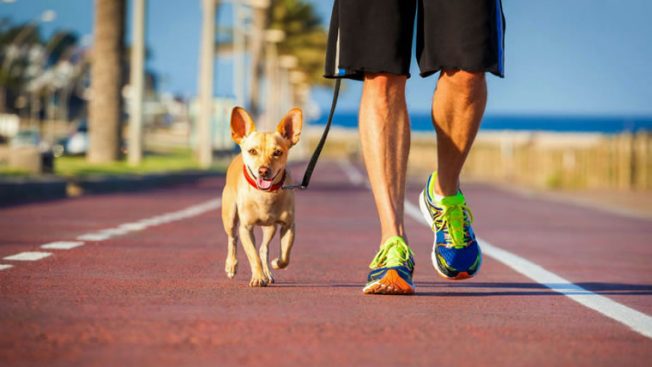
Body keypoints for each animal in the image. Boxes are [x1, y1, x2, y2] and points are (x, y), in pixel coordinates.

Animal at [219, 106, 300, 288]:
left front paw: (276, 264)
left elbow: (285, 255)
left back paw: (268, 273)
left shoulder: (288, 226)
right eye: (252, 151)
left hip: (270, 228)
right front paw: (257, 277)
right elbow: (253, 255)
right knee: (232, 239)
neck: (265, 195)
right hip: (230, 217)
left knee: (264, 249)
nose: (263, 170)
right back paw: (231, 265)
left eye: (277, 152)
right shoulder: (246, 228)